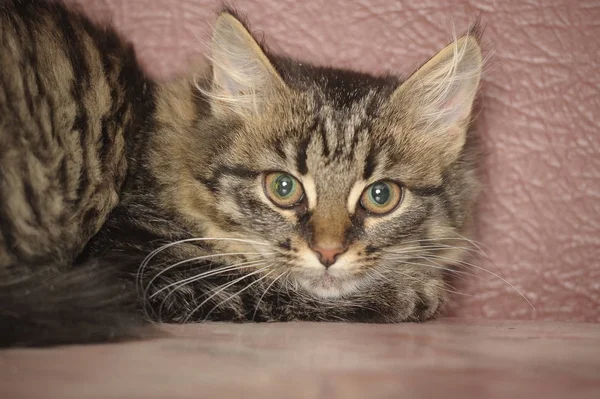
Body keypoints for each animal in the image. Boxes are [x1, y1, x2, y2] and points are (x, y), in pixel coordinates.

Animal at [0, 0, 480, 346]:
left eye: (381, 196)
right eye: (282, 187)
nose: (328, 253)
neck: (146, 148)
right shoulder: (137, 268)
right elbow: (270, 290)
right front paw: (412, 293)